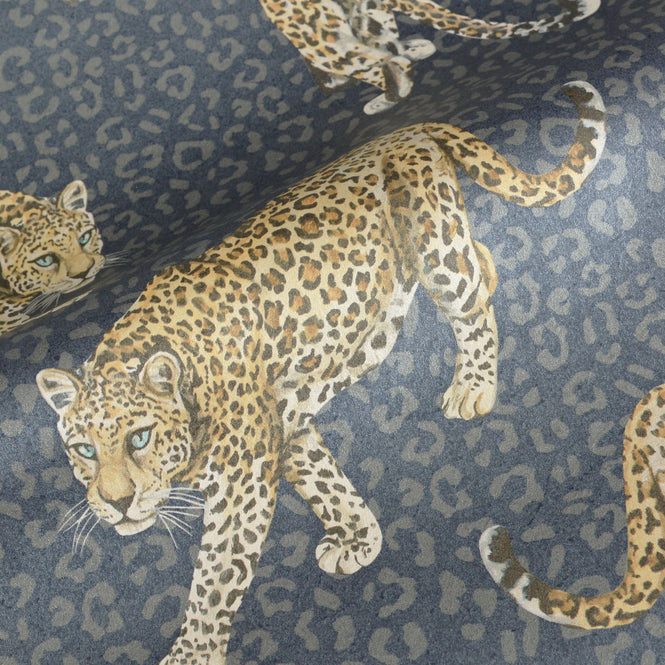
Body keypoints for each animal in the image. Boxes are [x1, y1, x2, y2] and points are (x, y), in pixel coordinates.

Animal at [36, 81, 605, 664]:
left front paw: (192, 651)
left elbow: (216, 572)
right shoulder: (287, 427)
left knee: (471, 303)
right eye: (83, 450)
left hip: (435, 242)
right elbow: (325, 484)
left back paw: (472, 386)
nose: (117, 502)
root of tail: (404, 131)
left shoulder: (243, 479)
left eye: (140, 437)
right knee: (485, 260)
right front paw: (359, 540)